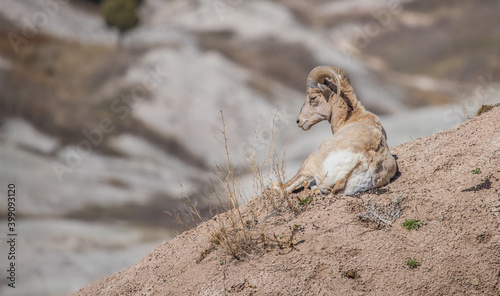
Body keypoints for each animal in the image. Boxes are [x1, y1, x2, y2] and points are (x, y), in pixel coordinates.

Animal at [274, 66, 394, 195]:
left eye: (313, 98)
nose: (299, 121)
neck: (351, 117)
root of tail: (361, 161)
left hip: (311, 159)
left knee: (291, 184)